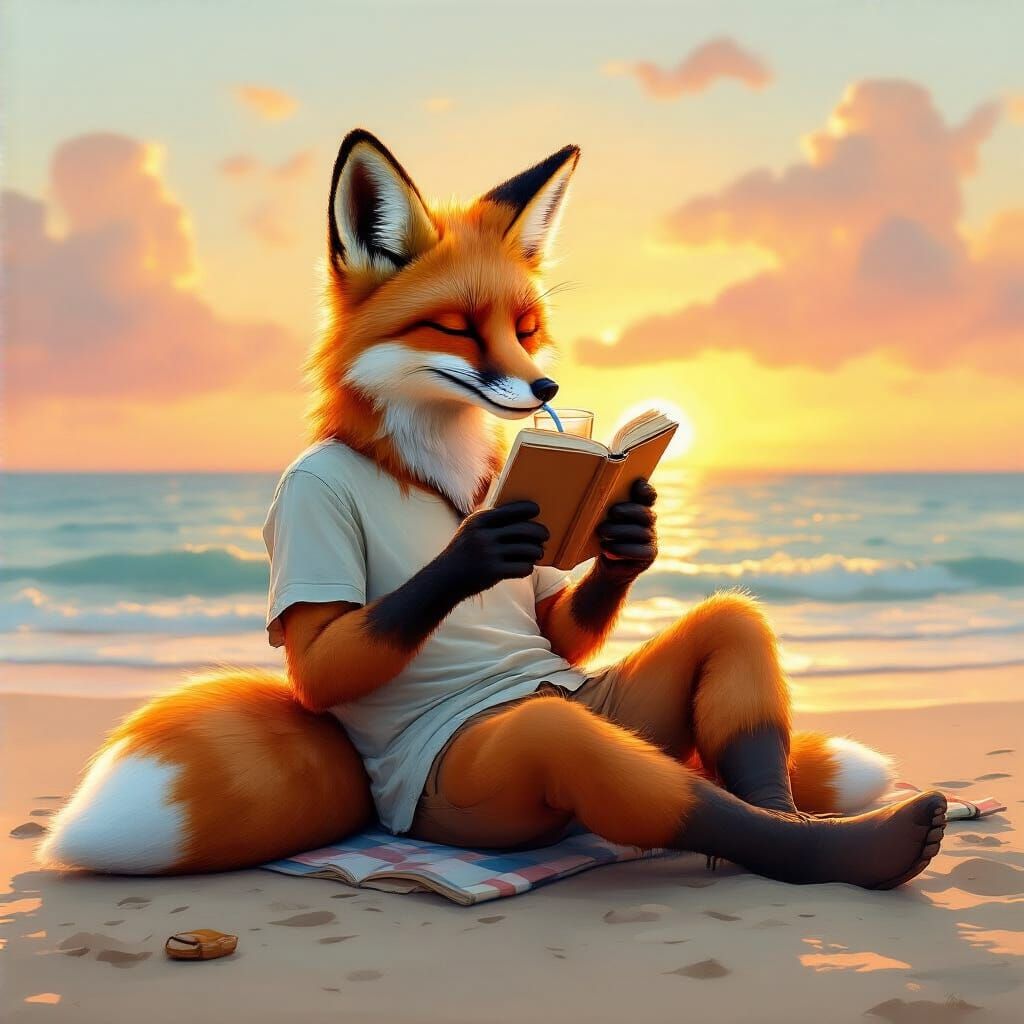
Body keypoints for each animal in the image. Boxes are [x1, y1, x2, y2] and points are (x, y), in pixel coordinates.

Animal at [39, 130, 946, 887]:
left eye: (527, 326)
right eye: (459, 330)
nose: (546, 389)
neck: (425, 466)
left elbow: (562, 613)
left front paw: (631, 536)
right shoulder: (309, 516)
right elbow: (322, 661)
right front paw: (474, 550)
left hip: (634, 716)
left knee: (732, 633)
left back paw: (814, 820)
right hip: (492, 779)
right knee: (607, 757)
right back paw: (865, 848)